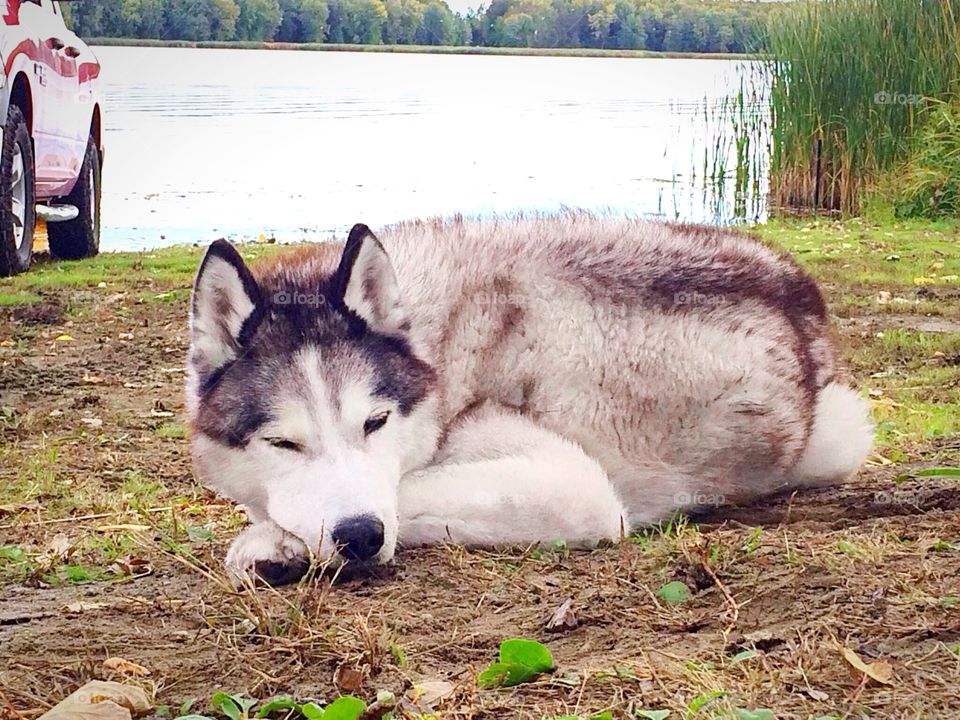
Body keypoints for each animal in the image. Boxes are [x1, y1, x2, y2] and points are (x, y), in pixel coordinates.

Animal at [184, 214, 872, 584]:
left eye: (376, 422)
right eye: (282, 442)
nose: (360, 537)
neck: (440, 346)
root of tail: (800, 288)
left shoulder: (572, 487)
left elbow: (404, 494)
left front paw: (272, 541)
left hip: (838, 434)